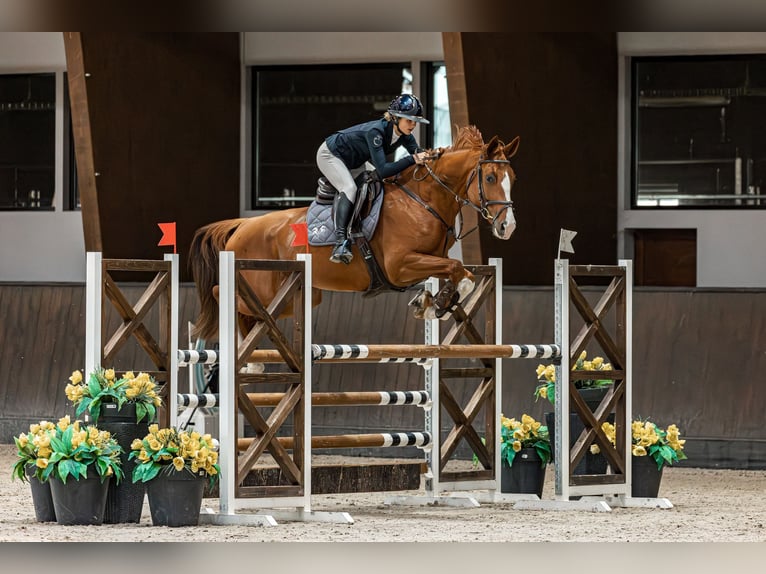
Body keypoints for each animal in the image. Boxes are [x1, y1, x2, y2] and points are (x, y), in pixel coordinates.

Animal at [189, 125, 520, 342]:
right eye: (490, 178)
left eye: (512, 178)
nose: (508, 227)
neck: (423, 200)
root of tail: (242, 226)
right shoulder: (399, 265)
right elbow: (457, 268)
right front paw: (435, 304)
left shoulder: (428, 259)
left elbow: (459, 272)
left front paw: (430, 303)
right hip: (260, 287)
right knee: (221, 294)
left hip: (299, 296)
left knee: (261, 313)